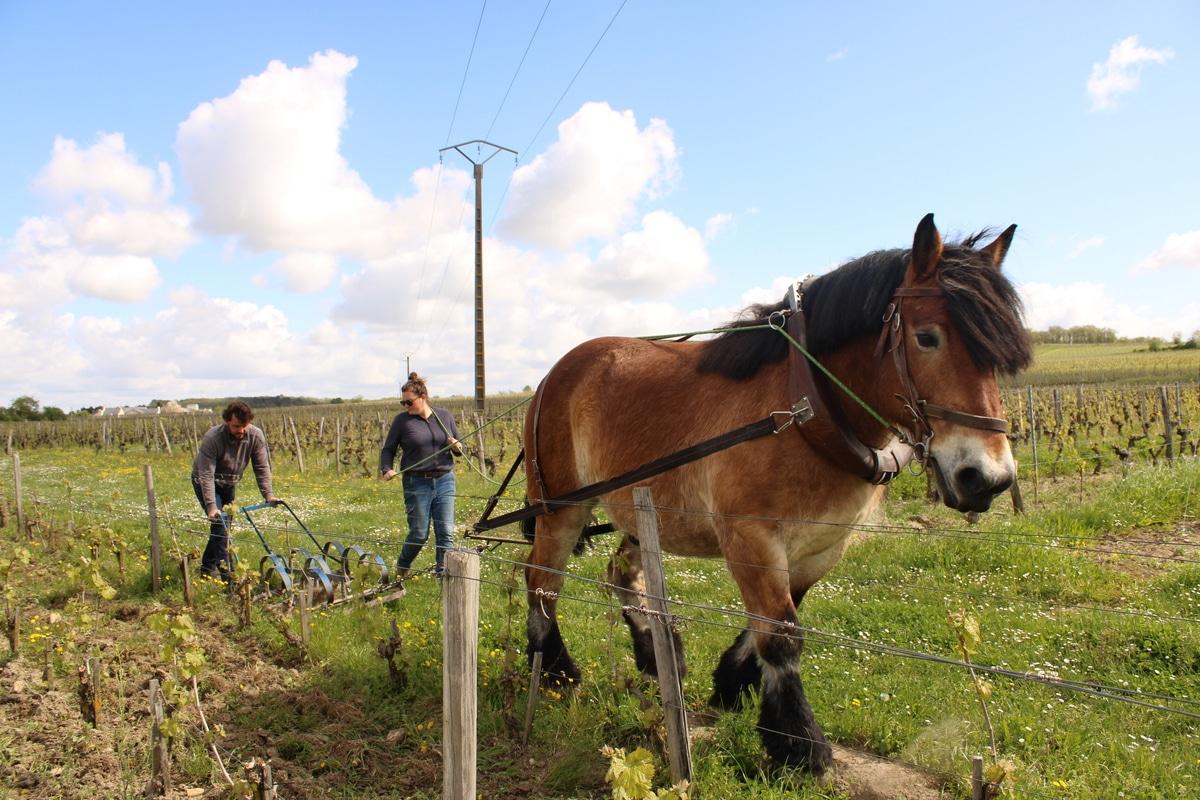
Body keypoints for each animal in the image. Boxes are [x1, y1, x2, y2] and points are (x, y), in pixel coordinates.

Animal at [521, 214, 1031, 771]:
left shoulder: (823, 544)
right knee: (542, 582)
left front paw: (732, 684)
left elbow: (777, 620)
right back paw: (554, 669)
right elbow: (782, 633)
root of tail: (554, 374)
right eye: (927, 337)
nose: (988, 477)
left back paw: (659, 656)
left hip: (637, 510)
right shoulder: (751, 539)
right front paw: (799, 743)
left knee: (620, 574)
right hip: (561, 507)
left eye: (999, 355)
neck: (805, 410)